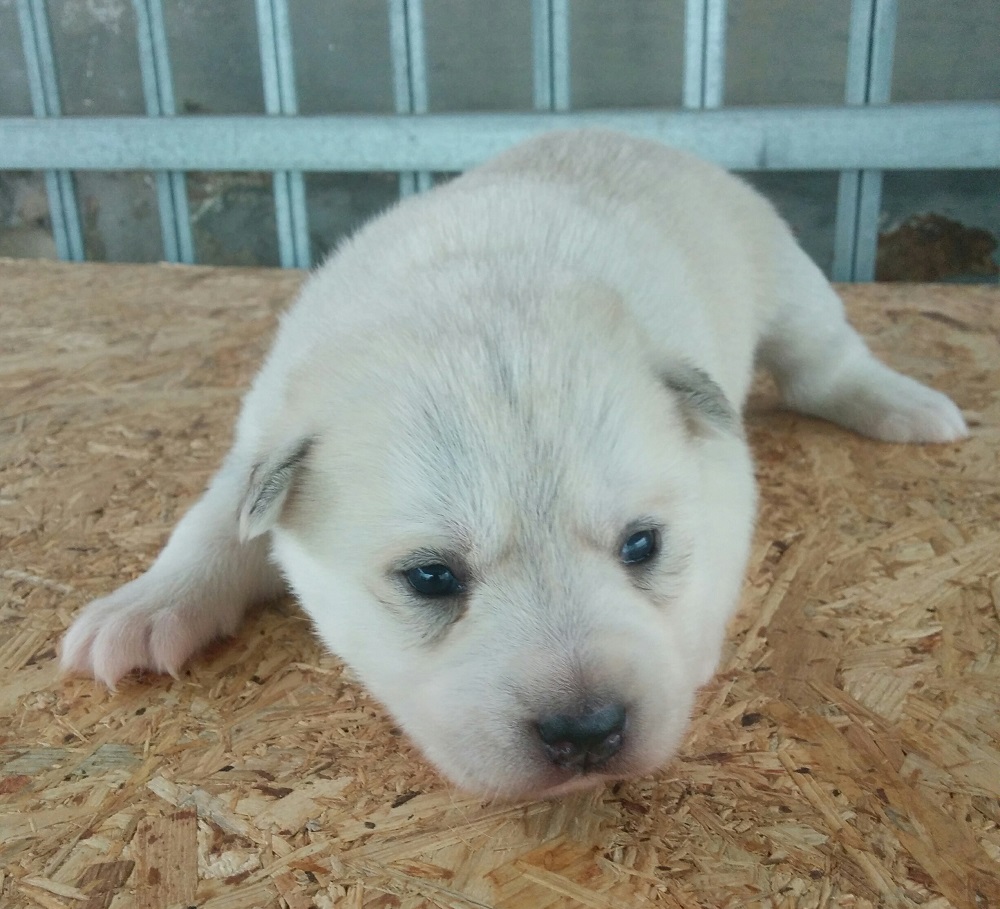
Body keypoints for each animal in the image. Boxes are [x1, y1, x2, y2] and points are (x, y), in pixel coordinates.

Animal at [61, 130, 967, 798]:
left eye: (643, 545)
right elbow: (213, 523)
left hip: (785, 274)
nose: (588, 732)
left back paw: (913, 407)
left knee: (827, 363)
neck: (475, 299)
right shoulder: (263, 441)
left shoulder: (719, 475)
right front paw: (142, 608)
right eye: (430, 577)